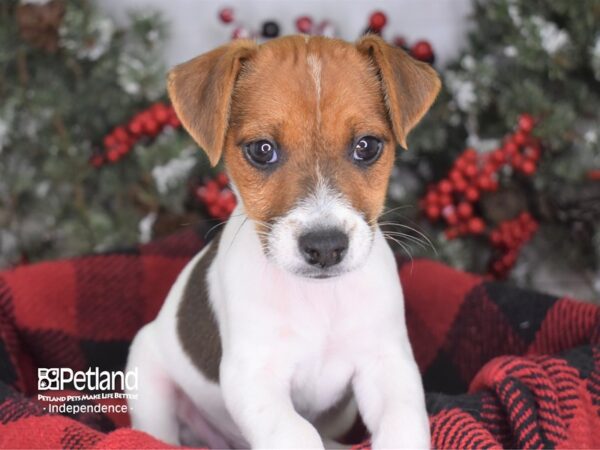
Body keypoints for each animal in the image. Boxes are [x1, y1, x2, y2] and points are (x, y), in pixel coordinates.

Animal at [126, 33, 438, 448]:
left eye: (367, 146)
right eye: (262, 150)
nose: (325, 246)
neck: (318, 299)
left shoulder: (387, 363)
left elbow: (402, 422)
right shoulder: (253, 376)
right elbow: (296, 431)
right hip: (147, 373)